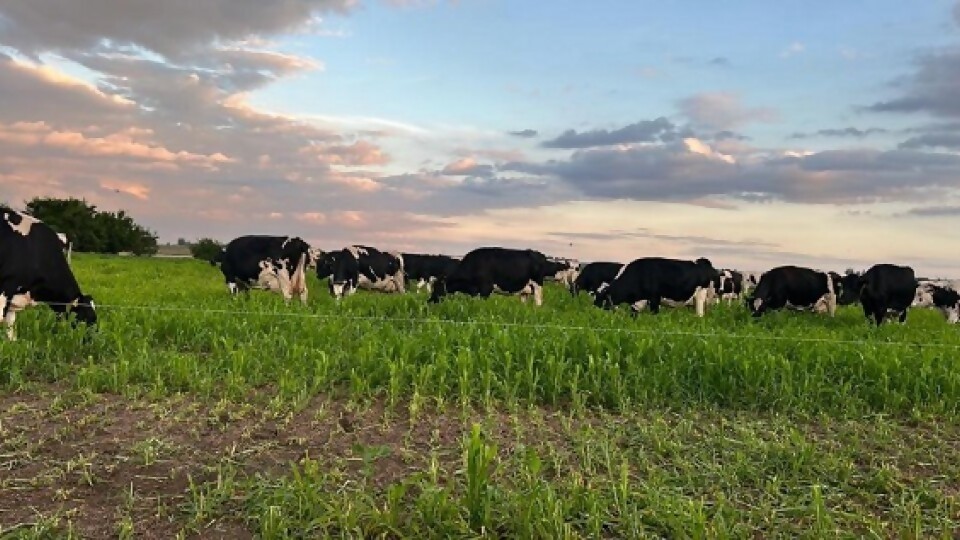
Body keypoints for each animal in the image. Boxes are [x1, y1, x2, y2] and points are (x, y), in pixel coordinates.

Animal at [592, 258, 720, 316]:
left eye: (601, 300)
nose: (595, 316)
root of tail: (703, 262)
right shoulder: (638, 302)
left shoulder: (654, 298)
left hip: (701, 296)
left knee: (700, 314)